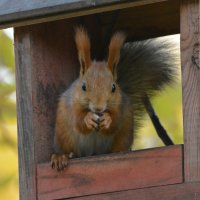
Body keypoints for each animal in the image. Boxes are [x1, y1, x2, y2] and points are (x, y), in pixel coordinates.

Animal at [50, 26, 176, 170]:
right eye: (83, 86)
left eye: (114, 87)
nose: (98, 108)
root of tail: (92, 153)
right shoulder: (71, 105)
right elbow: (78, 122)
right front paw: (88, 118)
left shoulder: (120, 105)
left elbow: (115, 122)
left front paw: (108, 119)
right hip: (63, 137)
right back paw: (60, 157)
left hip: (124, 135)